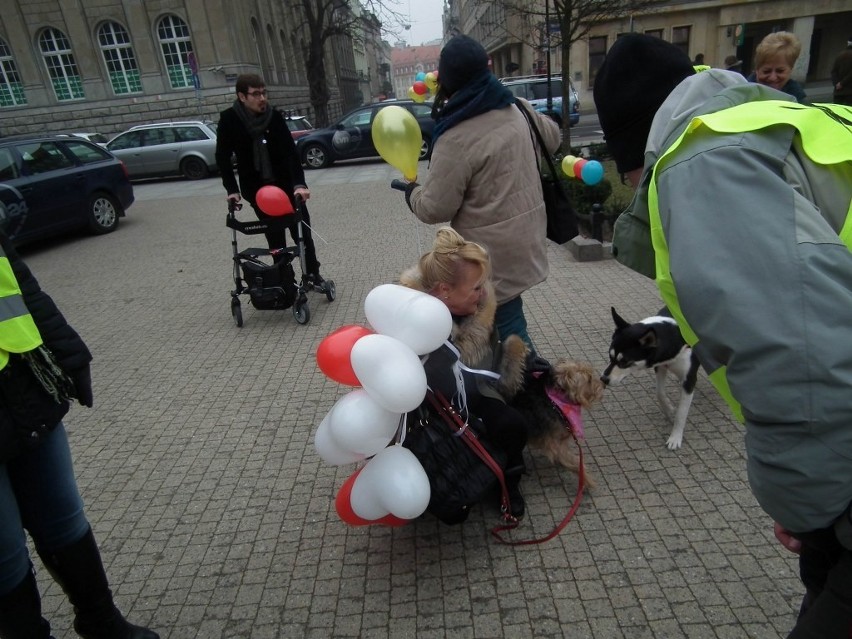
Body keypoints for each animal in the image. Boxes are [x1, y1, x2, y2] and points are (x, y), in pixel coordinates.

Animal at [600, 308, 700, 450]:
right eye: (610, 356)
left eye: (624, 362)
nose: (603, 379)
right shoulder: (661, 366)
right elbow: (659, 392)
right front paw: (668, 409)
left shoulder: (689, 379)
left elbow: (681, 413)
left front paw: (675, 438)